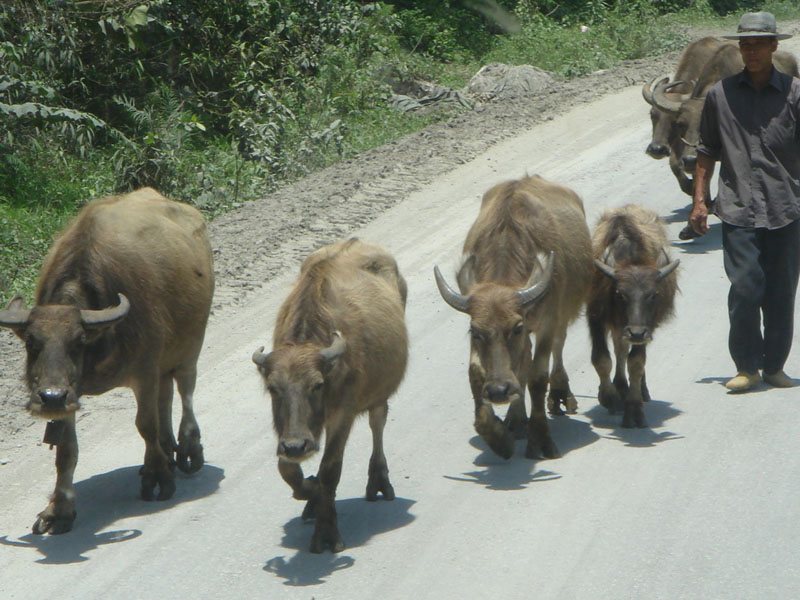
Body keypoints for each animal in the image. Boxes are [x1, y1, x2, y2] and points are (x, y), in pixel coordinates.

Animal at [0, 188, 214, 536]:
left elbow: (145, 424)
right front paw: (59, 511)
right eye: (32, 342)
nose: (50, 397)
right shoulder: (72, 393)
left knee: (185, 391)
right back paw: (168, 449)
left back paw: (187, 448)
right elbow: (66, 451)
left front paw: (157, 477)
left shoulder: (144, 372)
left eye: (77, 342)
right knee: (167, 395)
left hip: (189, 347)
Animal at [253, 238, 410, 552]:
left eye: (316, 385)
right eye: (274, 388)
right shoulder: (285, 431)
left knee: (378, 422)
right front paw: (311, 493)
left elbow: (329, 469)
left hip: (379, 394)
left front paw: (326, 533)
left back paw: (379, 483)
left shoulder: (343, 415)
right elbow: (286, 469)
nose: (296, 446)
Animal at [432, 173, 592, 460]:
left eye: (516, 328)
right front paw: (499, 438)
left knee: (557, 347)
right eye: (475, 332)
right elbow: (476, 373)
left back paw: (559, 394)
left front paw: (540, 439)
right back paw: (516, 421)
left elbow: (537, 376)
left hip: (561, 316)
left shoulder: (547, 322)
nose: (499, 392)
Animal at [588, 204, 676, 428]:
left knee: (627, 353)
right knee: (619, 349)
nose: (636, 333)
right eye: (620, 294)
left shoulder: (646, 326)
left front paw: (634, 409)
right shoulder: (595, 316)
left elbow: (636, 363)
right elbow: (602, 358)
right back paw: (619, 388)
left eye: (653, 295)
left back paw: (639, 390)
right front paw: (608, 397)